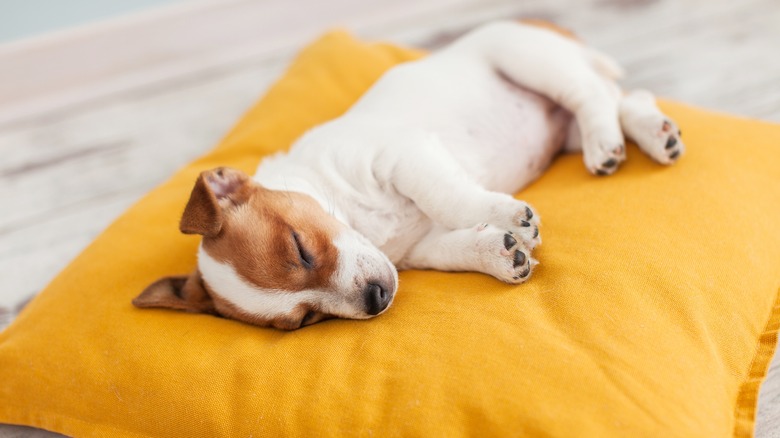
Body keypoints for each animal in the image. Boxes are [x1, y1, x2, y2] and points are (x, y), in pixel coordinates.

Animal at [134, 20, 684, 328]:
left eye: (300, 248)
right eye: (305, 320)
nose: (376, 299)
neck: (362, 221)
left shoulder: (403, 156)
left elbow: (451, 198)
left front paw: (508, 214)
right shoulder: (422, 248)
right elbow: (460, 247)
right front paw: (501, 252)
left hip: (528, 60)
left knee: (594, 95)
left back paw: (607, 145)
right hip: (561, 123)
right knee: (622, 99)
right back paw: (653, 133)